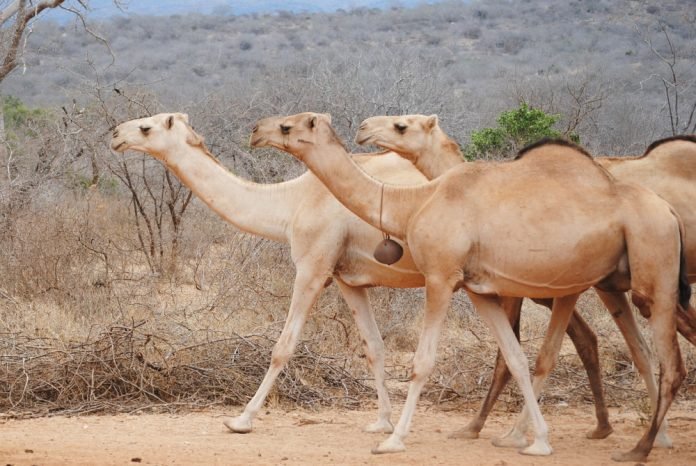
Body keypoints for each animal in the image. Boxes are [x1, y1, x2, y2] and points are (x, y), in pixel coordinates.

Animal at [250, 112, 689, 462]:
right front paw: (536, 441)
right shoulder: (479, 289)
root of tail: (668, 211)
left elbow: (423, 362)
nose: (255, 130)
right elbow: (514, 358)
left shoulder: (441, 277)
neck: (415, 202)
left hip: (654, 275)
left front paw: (393, 439)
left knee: (670, 362)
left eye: (287, 125)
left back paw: (641, 448)